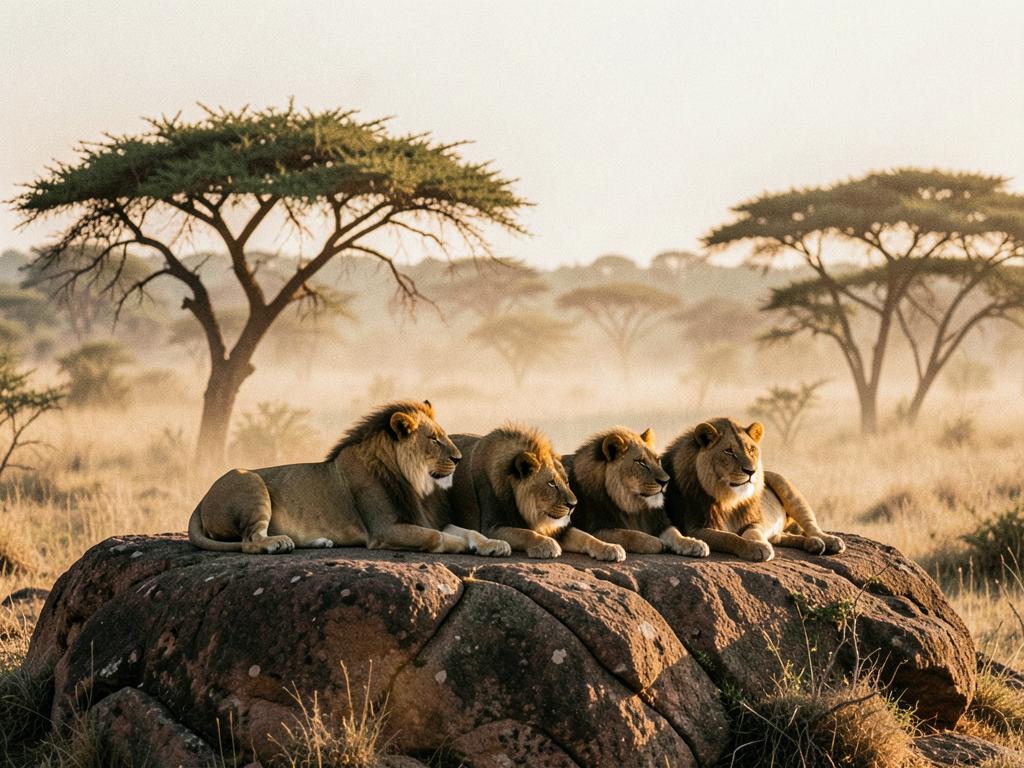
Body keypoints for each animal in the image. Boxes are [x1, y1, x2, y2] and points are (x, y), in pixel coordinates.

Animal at [188, 400, 511, 557]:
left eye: (444, 435)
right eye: (433, 439)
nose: (459, 459)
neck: (414, 482)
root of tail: (200, 500)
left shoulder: (427, 518)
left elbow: (469, 531)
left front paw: (494, 545)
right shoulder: (385, 530)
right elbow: (438, 538)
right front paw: (464, 547)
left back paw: (318, 541)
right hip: (248, 480)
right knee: (250, 540)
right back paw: (276, 543)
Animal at [449, 425, 626, 561]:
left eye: (567, 481)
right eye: (551, 483)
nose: (573, 505)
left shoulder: (560, 529)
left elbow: (586, 536)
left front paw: (611, 548)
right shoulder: (491, 528)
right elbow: (525, 533)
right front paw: (546, 544)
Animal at [566, 427, 709, 557]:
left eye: (657, 460)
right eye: (641, 463)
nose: (666, 481)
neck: (631, 505)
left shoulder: (659, 523)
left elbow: (675, 532)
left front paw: (695, 543)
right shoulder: (595, 528)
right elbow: (629, 534)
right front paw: (657, 543)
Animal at [661, 418, 845, 562]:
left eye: (751, 449)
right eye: (729, 451)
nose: (751, 471)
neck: (728, 498)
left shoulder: (754, 521)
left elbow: (753, 533)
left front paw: (759, 544)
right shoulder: (695, 528)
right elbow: (729, 537)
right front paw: (755, 548)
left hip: (788, 489)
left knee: (811, 525)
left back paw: (829, 541)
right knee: (784, 537)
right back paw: (814, 544)